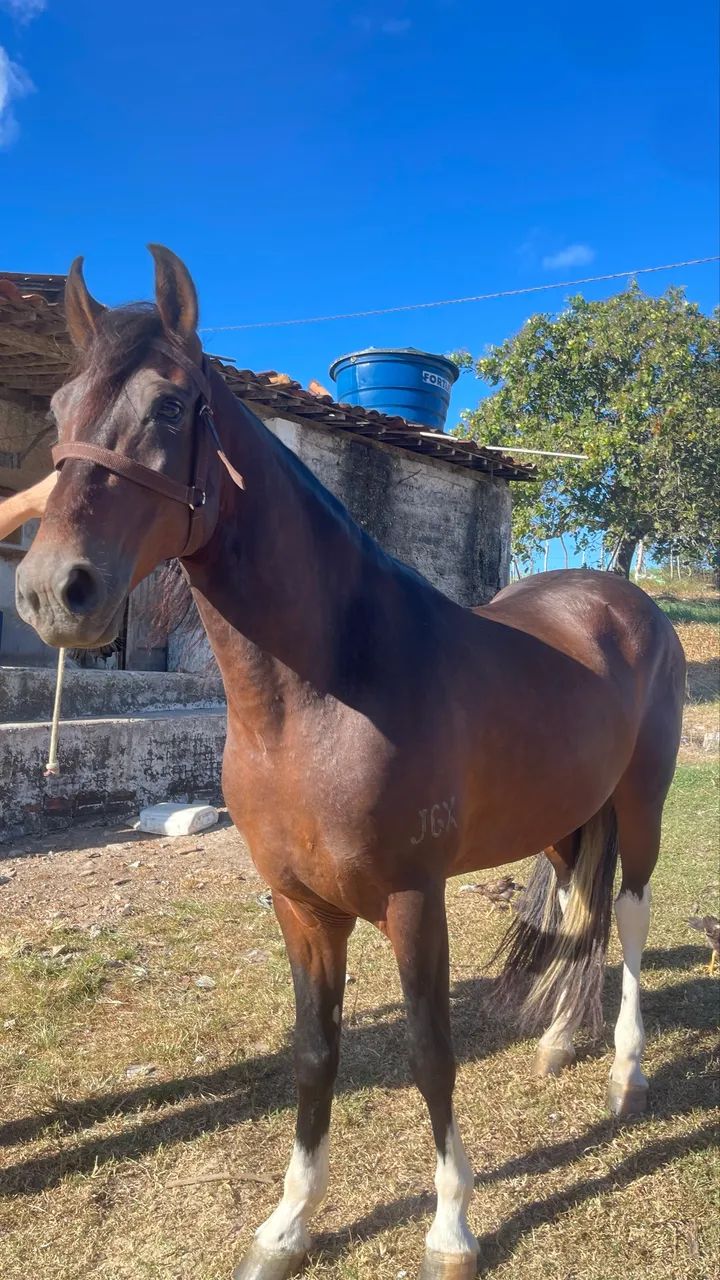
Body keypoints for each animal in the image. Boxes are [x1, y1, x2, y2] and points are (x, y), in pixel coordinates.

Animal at [16, 247, 686, 1280]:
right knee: (579, 906)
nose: (56, 592)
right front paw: (289, 1224)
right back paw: (560, 1042)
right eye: (57, 409)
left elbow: (429, 1053)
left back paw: (624, 1072)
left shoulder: (414, 901)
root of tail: (627, 599)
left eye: (169, 407)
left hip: (642, 803)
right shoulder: (301, 907)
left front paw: (452, 1226)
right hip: (566, 815)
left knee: (631, 916)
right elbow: (314, 1053)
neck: (322, 695)